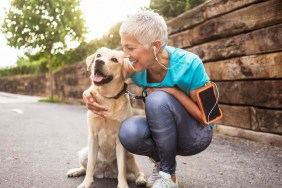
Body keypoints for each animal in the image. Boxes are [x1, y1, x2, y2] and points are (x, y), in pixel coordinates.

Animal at [66, 47, 145, 188]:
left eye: (114, 59)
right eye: (98, 55)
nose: (98, 61)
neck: (108, 97)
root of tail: (106, 172)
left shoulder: (120, 140)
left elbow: (122, 169)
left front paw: (123, 185)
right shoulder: (93, 136)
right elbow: (90, 166)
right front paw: (86, 183)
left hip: (129, 155)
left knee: (137, 171)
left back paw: (140, 179)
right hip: (84, 153)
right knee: (85, 167)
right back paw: (76, 171)